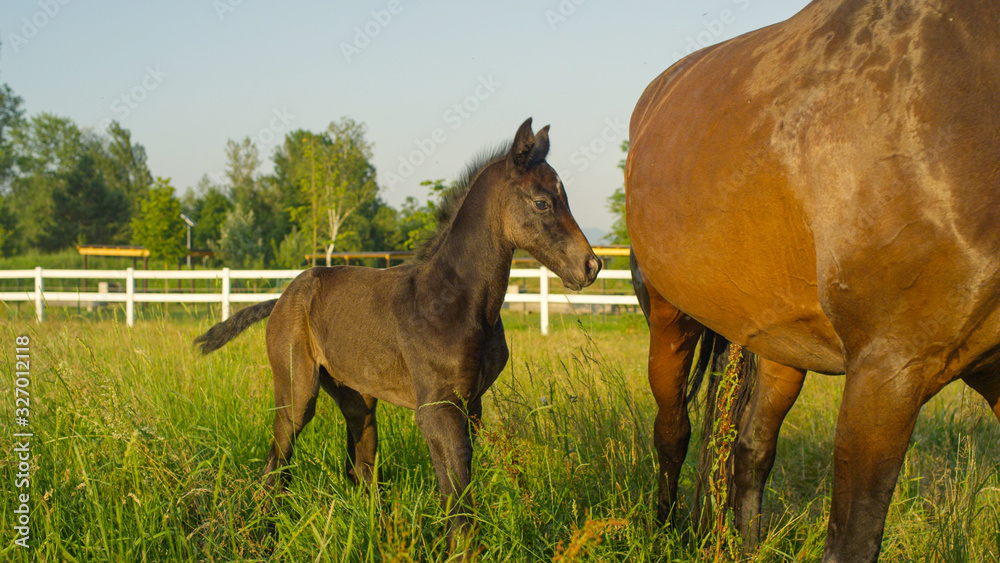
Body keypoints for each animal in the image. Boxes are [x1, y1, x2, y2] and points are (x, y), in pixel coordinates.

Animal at [196, 119, 600, 540]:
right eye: (542, 202)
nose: (591, 266)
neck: (458, 298)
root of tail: (281, 298)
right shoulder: (437, 408)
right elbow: (456, 493)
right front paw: (462, 547)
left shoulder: (472, 405)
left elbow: (460, 484)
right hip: (297, 391)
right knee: (278, 458)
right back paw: (263, 528)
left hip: (357, 397)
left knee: (359, 466)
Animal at [628, 2, 996, 560]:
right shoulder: (887, 370)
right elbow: (853, 540)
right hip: (671, 319)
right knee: (673, 429)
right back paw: (662, 531)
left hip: (782, 347)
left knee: (751, 449)